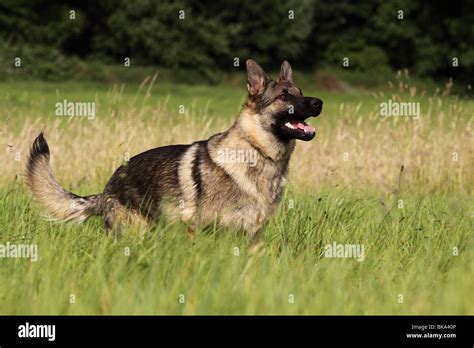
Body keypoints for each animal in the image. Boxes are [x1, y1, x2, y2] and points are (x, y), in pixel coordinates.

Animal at [25, 60, 322, 239]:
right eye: (284, 96)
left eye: (300, 91)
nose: (319, 102)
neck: (258, 152)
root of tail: (106, 189)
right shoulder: (198, 230)